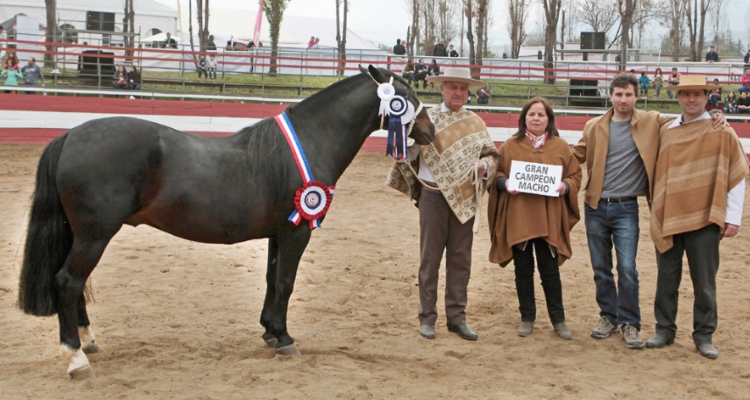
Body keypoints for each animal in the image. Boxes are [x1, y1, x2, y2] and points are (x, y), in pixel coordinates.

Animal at [17, 65, 434, 378]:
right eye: (406, 95)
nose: (430, 131)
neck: (311, 141)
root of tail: (70, 136)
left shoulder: (278, 233)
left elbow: (271, 280)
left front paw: (269, 331)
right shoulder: (296, 231)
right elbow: (286, 283)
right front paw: (285, 339)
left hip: (81, 235)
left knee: (74, 285)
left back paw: (88, 342)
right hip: (94, 235)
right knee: (68, 283)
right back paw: (76, 359)